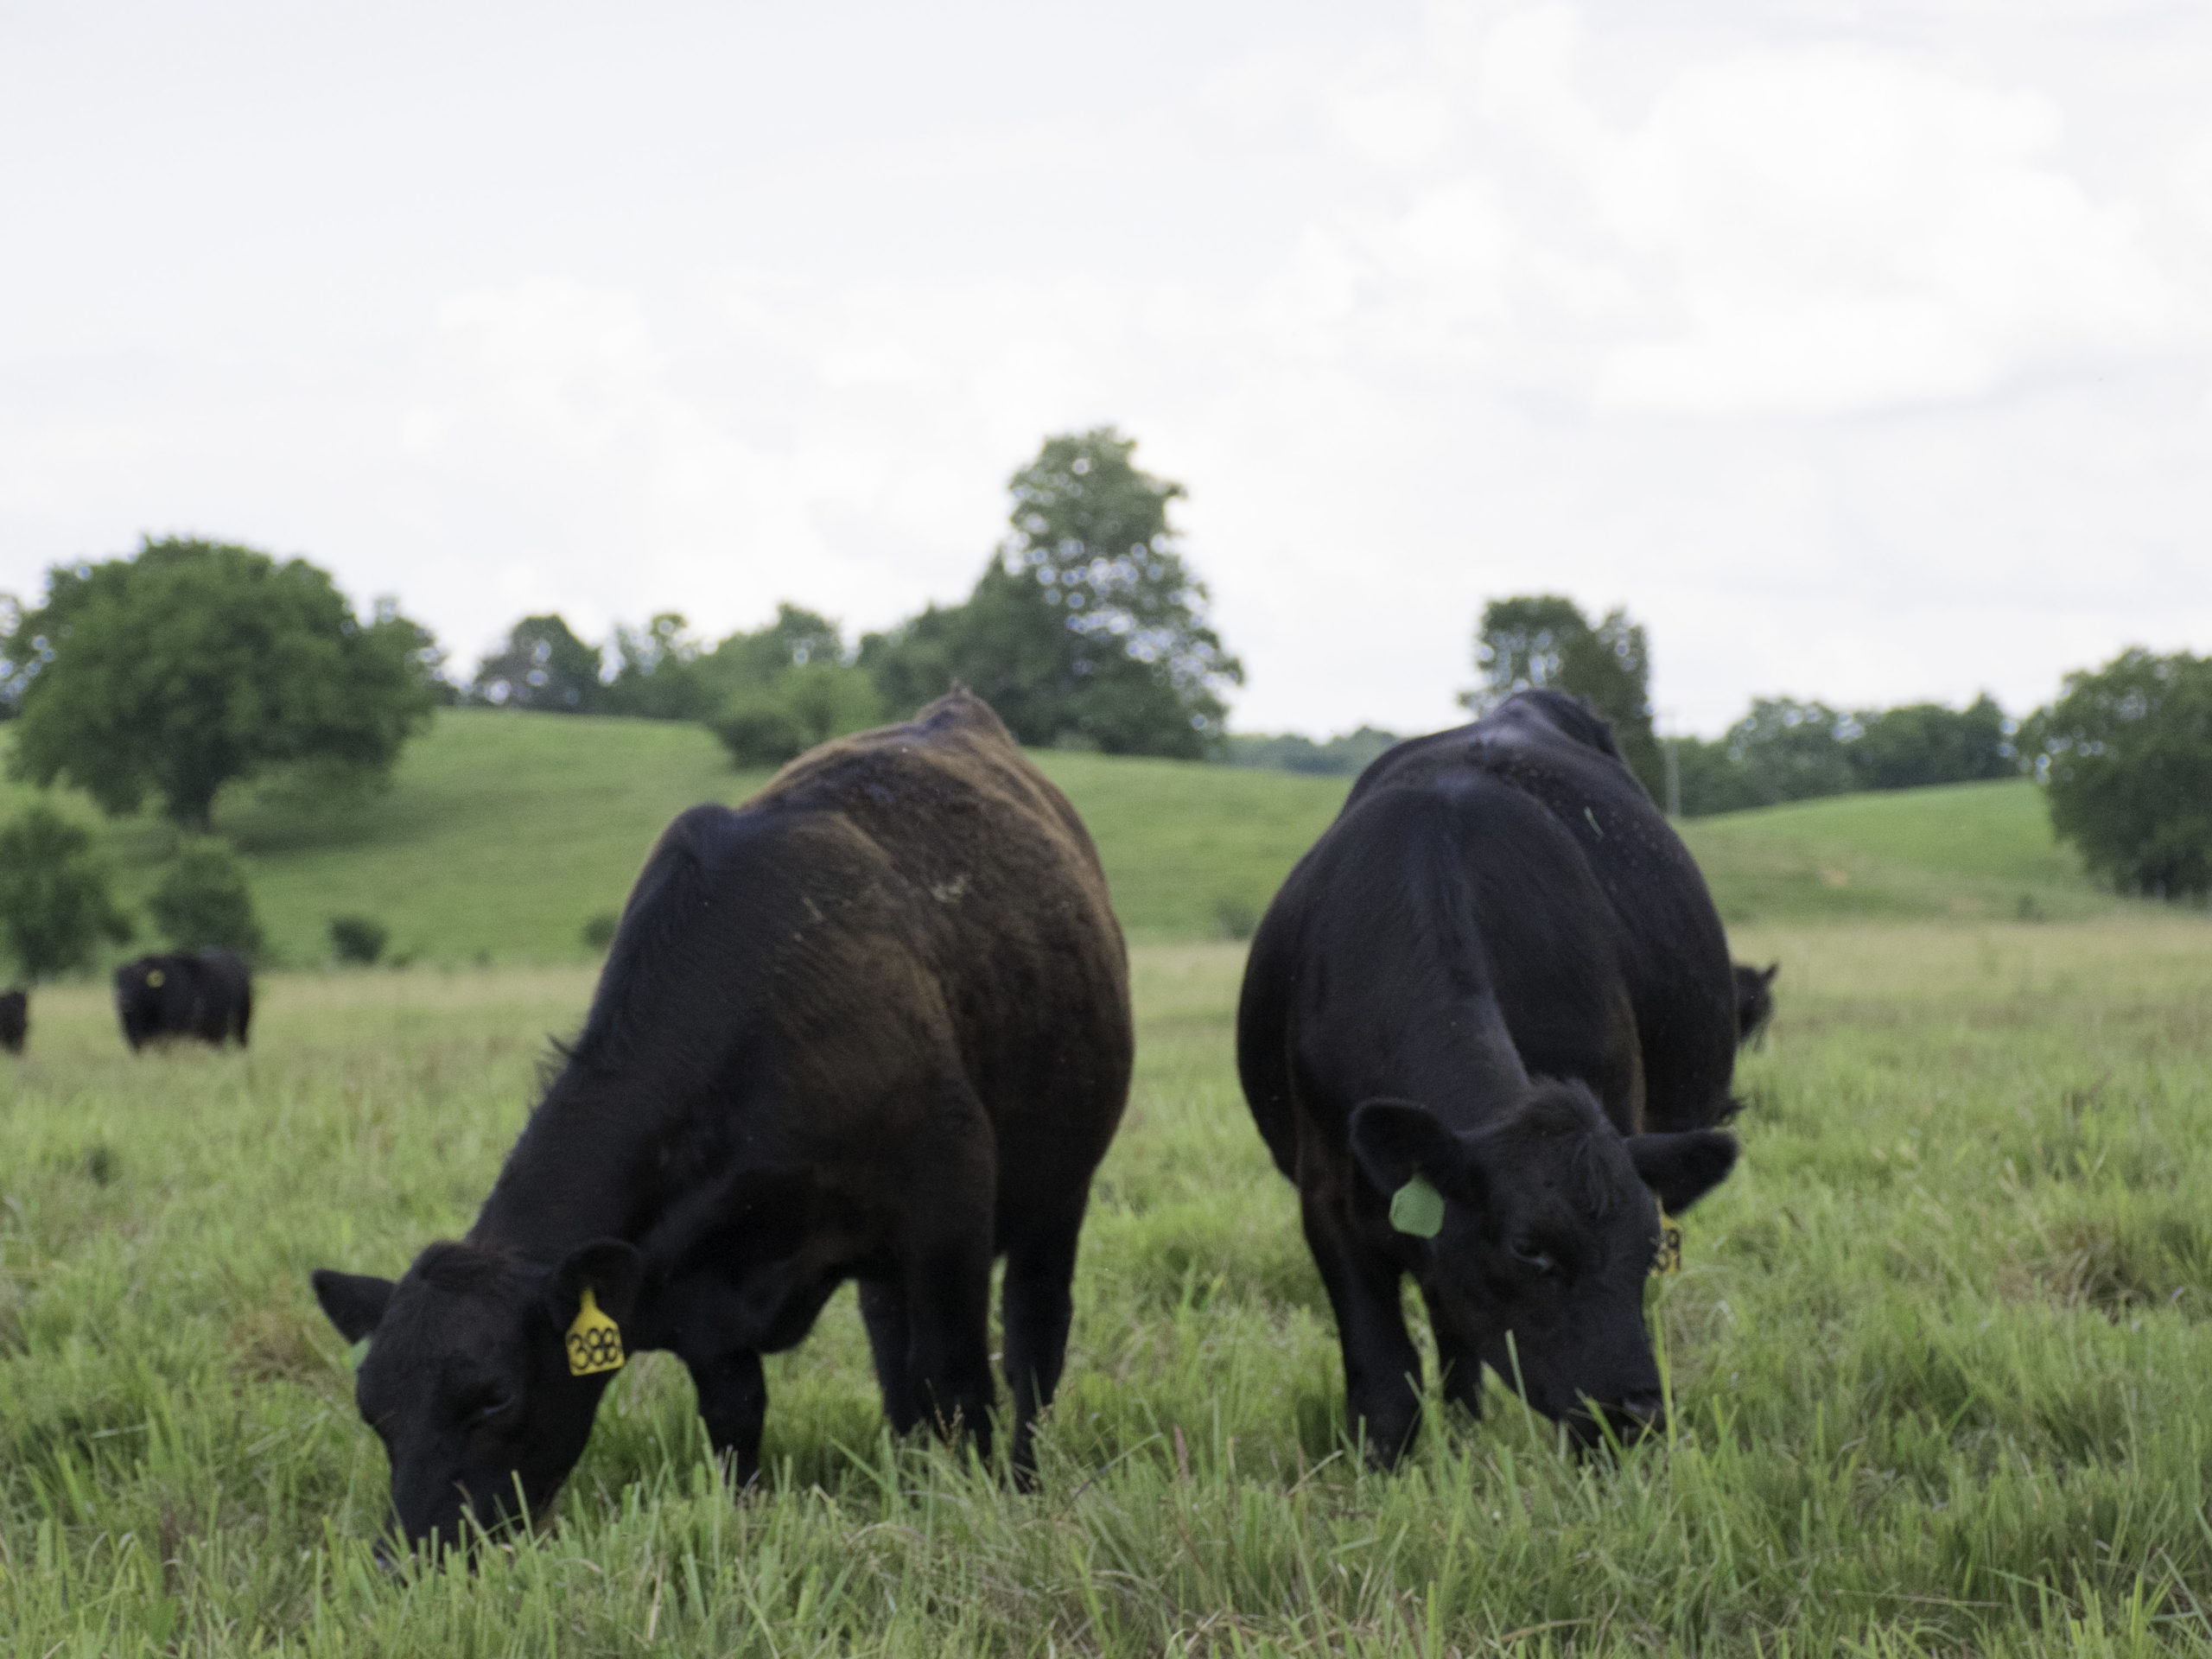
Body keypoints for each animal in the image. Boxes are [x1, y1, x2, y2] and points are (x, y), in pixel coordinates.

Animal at [314, 690, 1141, 1557]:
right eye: (374, 1411)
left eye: (495, 1397)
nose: (408, 1556)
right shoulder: (704, 1310)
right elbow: (738, 1426)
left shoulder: (947, 1209)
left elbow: (959, 1380)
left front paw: (981, 1513)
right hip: (889, 1265)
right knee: (893, 1353)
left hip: (1057, 1189)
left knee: (1032, 1338)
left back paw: (1022, 1478)